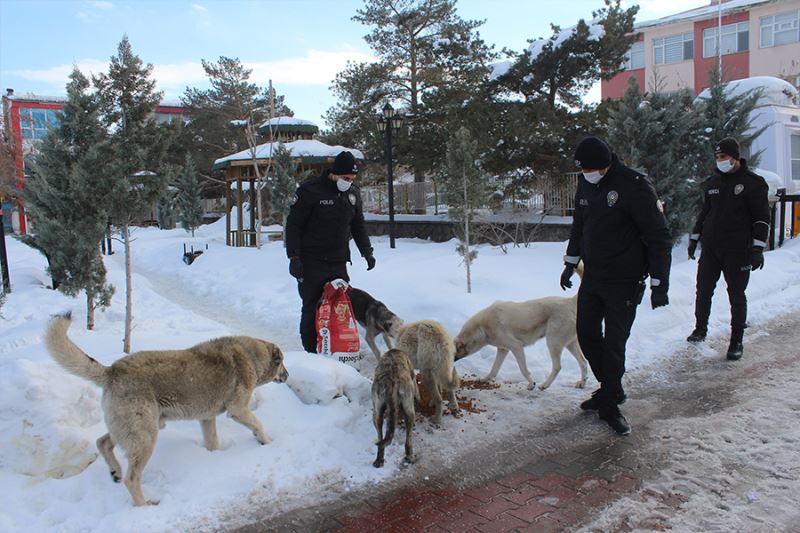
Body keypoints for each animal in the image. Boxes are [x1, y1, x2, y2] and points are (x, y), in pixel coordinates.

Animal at [43, 314, 288, 504]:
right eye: (282, 363)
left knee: (102, 442)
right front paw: (267, 442)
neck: (251, 356)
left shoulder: (207, 419)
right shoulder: (238, 409)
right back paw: (143, 505)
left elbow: (213, 443)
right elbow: (258, 424)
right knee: (131, 479)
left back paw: (115, 472)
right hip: (145, 436)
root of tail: (111, 370)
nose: (287, 375)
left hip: (131, 428)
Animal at [454, 284, 592, 388]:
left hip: (553, 343)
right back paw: (582, 383)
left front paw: (531, 384)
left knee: (558, 367)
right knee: (584, 362)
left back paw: (544, 385)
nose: (452, 361)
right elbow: (494, 369)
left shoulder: (516, 347)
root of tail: (569, 301)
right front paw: (485, 379)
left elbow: (523, 369)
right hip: (570, 344)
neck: (482, 327)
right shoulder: (503, 349)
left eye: (455, 350)